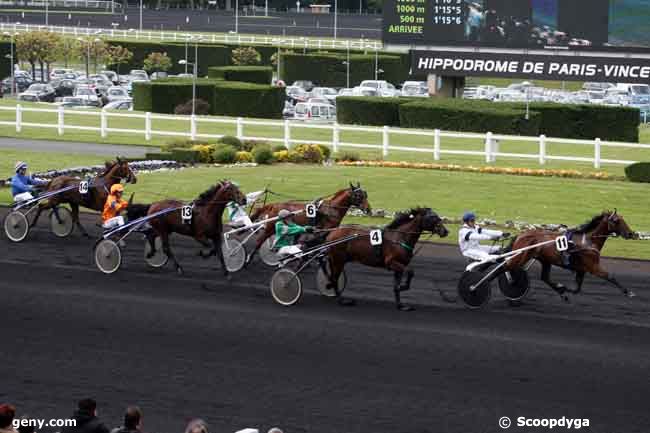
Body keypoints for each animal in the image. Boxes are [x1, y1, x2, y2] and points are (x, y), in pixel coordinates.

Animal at [504, 210, 636, 300]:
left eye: (623, 219)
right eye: (616, 221)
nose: (631, 233)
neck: (588, 241)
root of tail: (520, 235)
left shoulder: (582, 269)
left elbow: (576, 289)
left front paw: (563, 289)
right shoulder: (593, 267)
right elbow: (610, 277)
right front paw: (629, 292)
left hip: (545, 260)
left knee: (544, 278)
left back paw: (561, 293)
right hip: (521, 257)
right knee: (506, 267)